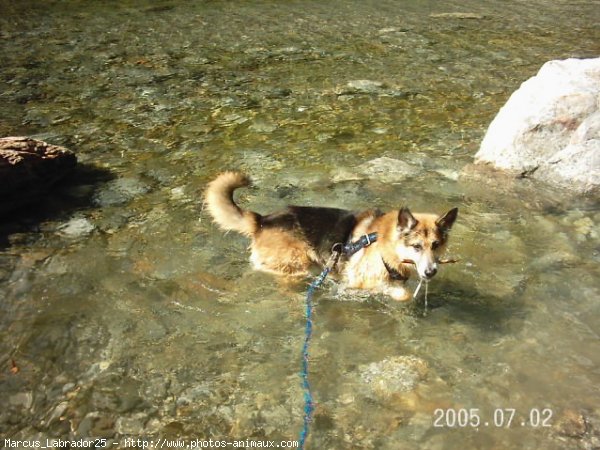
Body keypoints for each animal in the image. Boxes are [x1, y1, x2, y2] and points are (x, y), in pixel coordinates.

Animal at [204, 172, 458, 302]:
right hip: (297, 265)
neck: (386, 246)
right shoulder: (357, 282)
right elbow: (398, 293)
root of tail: (262, 220)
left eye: (436, 245)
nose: (430, 272)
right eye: (416, 246)